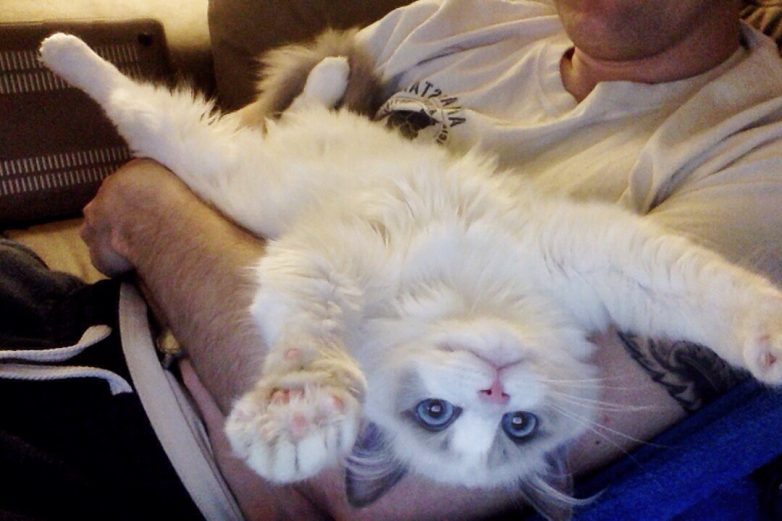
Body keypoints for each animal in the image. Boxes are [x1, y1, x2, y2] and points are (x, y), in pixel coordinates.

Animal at [40, 33, 782, 520]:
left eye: (516, 426)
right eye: (436, 413)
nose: (493, 387)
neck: (468, 286)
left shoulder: (602, 256)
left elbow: (707, 296)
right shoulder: (328, 264)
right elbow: (307, 345)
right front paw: (299, 420)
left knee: (278, 106)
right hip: (183, 141)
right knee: (128, 93)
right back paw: (59, 47)